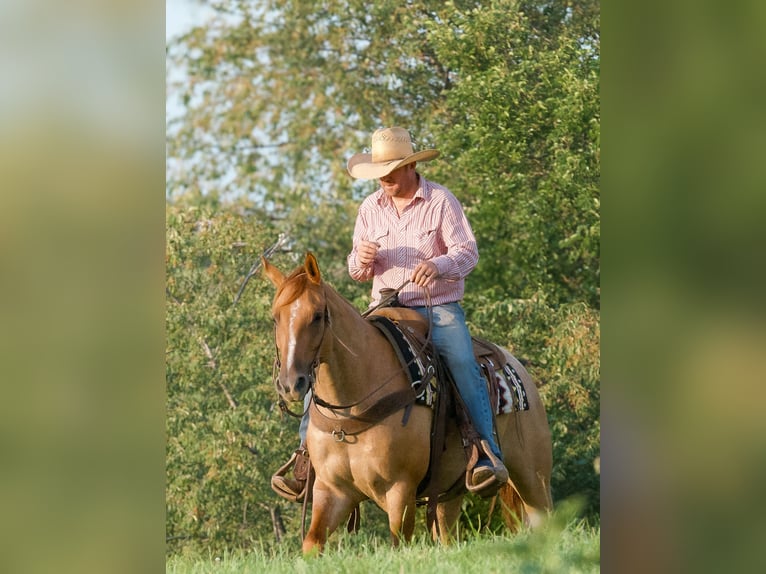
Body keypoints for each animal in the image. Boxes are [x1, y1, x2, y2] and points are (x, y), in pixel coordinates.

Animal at [264, 254, 552, 556]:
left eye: (318, 316)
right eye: (275, 318)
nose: (290, 383)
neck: (353, 409)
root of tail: (519, 369)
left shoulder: (400, 488)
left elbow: (398, 540)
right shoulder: (332, 490)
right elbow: (312, 542)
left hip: (533, 477)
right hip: (450, 494)